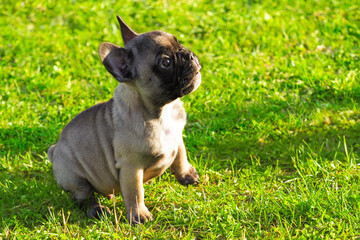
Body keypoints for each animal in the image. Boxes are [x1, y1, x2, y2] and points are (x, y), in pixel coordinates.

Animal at [46, 15, 201, 224]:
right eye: (166, 62)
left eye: (179, 42)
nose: (189, 55)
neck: (161, 112)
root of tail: (55, 151)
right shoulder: (131, 167)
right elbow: (135, 193)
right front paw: (139, 215)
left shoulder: (177, 136)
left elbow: (180, 156)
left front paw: (187, 175)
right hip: (75, 177)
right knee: (83, 197)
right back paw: (98, 209)